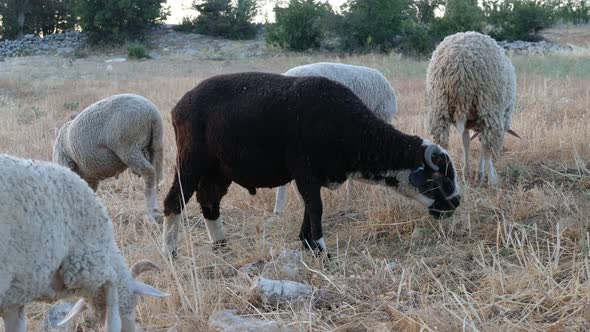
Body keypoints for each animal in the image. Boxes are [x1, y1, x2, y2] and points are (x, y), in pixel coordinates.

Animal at [428, 31, 520, 185]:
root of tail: (460, 66)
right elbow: (482, 144)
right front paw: (481, 173)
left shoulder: (468, 123)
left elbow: (466, 142)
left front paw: (467, 172)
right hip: (489, 105)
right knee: (487, 146)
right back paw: (492, 181)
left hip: (439, 104)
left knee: (443, 143)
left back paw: (446, 175)